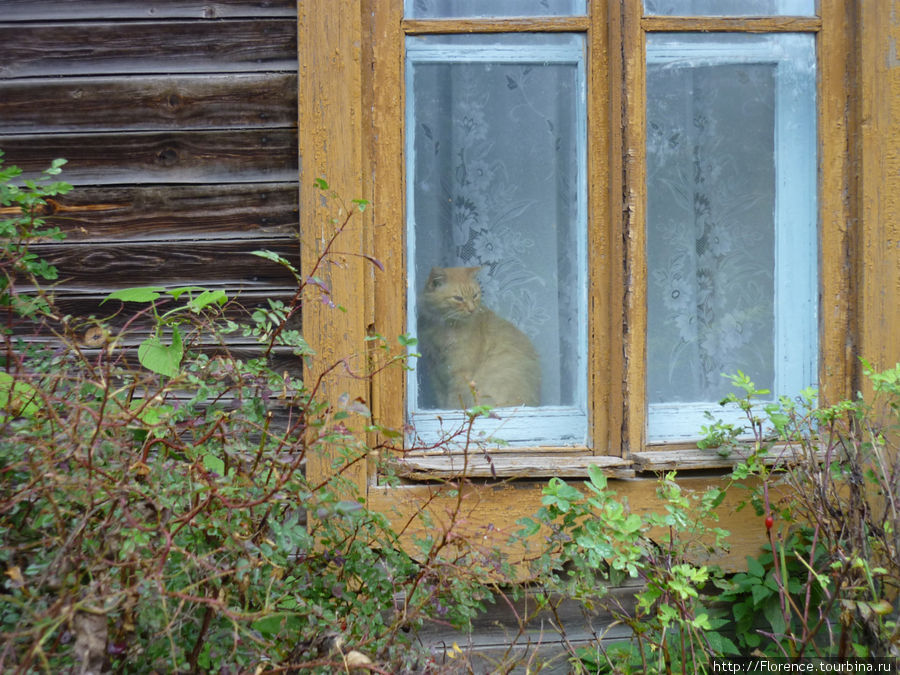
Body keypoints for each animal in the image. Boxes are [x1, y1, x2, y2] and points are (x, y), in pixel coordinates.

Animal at [416, 266, 540, 410]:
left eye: (475, 295)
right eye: (458, 298)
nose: (472, 309)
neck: (444, 327)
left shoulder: (459, 373)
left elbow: (454, 402)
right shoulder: (436, 371)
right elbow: (441, 399)